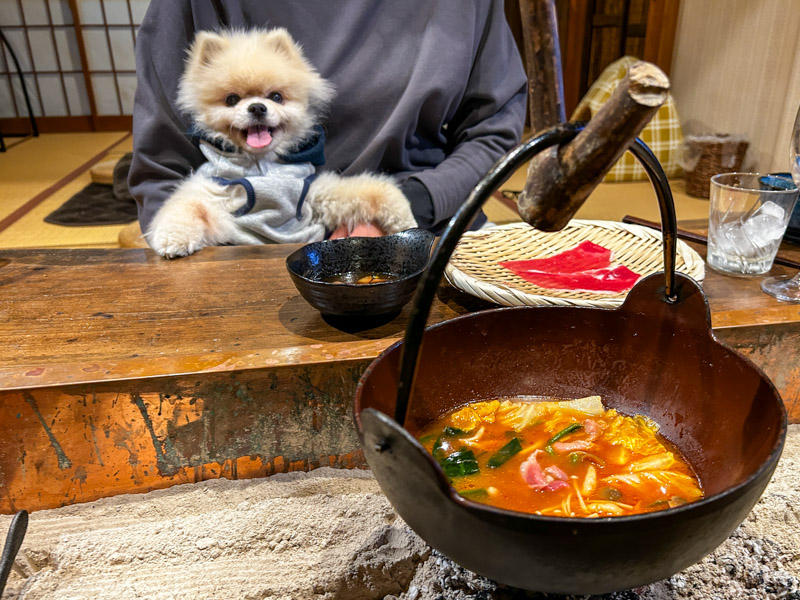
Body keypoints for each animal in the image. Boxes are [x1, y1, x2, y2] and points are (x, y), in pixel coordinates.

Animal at [145, 28, 418, 258]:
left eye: (276, 96)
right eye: (232, 99)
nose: (257, 107)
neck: (262, 164)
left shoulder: (312, 194)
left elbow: (373, 191)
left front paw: (406, 219)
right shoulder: (213, 190)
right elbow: (185, 206)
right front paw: (174, 239)